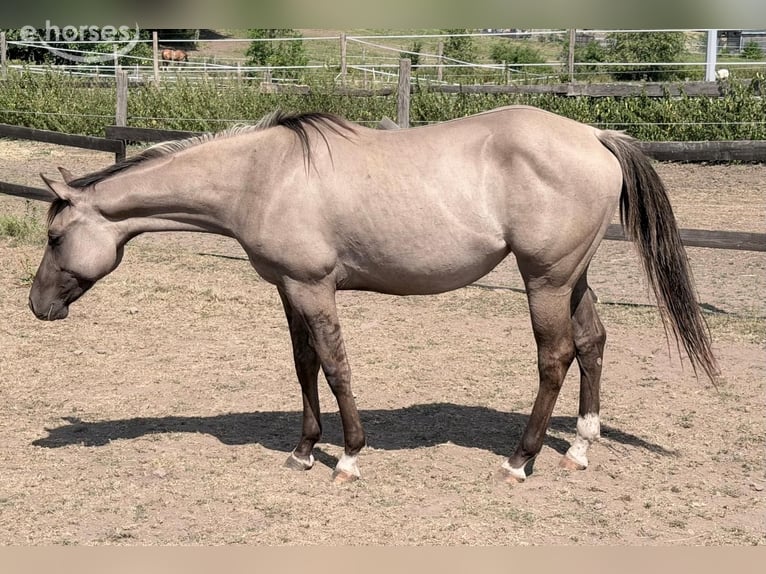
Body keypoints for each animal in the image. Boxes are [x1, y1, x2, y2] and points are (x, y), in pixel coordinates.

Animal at [28, 106, 719, 484]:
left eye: (56, 235)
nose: (38, 305)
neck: (262, 177)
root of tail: (595, 135)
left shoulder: (313, 288)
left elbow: (335, 366)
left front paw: (349, 456)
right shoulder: (289, 289)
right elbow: (304, 365)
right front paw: (304, 450)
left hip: (545, 279)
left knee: (555, 358)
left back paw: (521, 460)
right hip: (572, 277)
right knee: (593, 341)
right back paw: (579, 446)